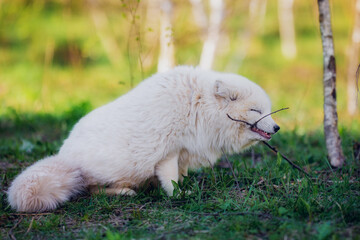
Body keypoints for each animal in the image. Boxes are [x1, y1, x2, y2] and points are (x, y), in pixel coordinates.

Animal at [7, 65, 280, 212]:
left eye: (267, 110)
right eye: (256, 111)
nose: (277, 127)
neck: (198, 106)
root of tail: (65, 157)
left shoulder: (183, 152)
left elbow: (181, 175)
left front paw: (185, 186)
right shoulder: (168, 152)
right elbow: (171, 180)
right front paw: (179, 196)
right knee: (91, 190)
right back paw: (123, 192)